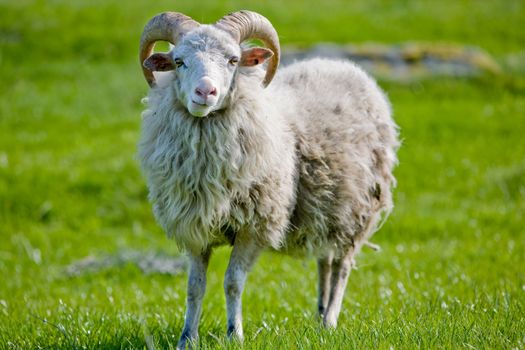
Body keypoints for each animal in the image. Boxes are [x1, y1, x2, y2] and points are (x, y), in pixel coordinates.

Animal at [137, 9, 400, 348]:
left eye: (234, 60)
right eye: (179, 61)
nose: (205, 92)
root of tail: (340, 64)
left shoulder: (255, 226)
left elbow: (233, 282)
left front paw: (234, 335)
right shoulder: (195, 227)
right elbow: (194, 287)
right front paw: (187, 339)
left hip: (358, 209)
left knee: (341, 266)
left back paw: (330, 320)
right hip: (328, 207)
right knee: (325, 261)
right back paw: (319, 317)